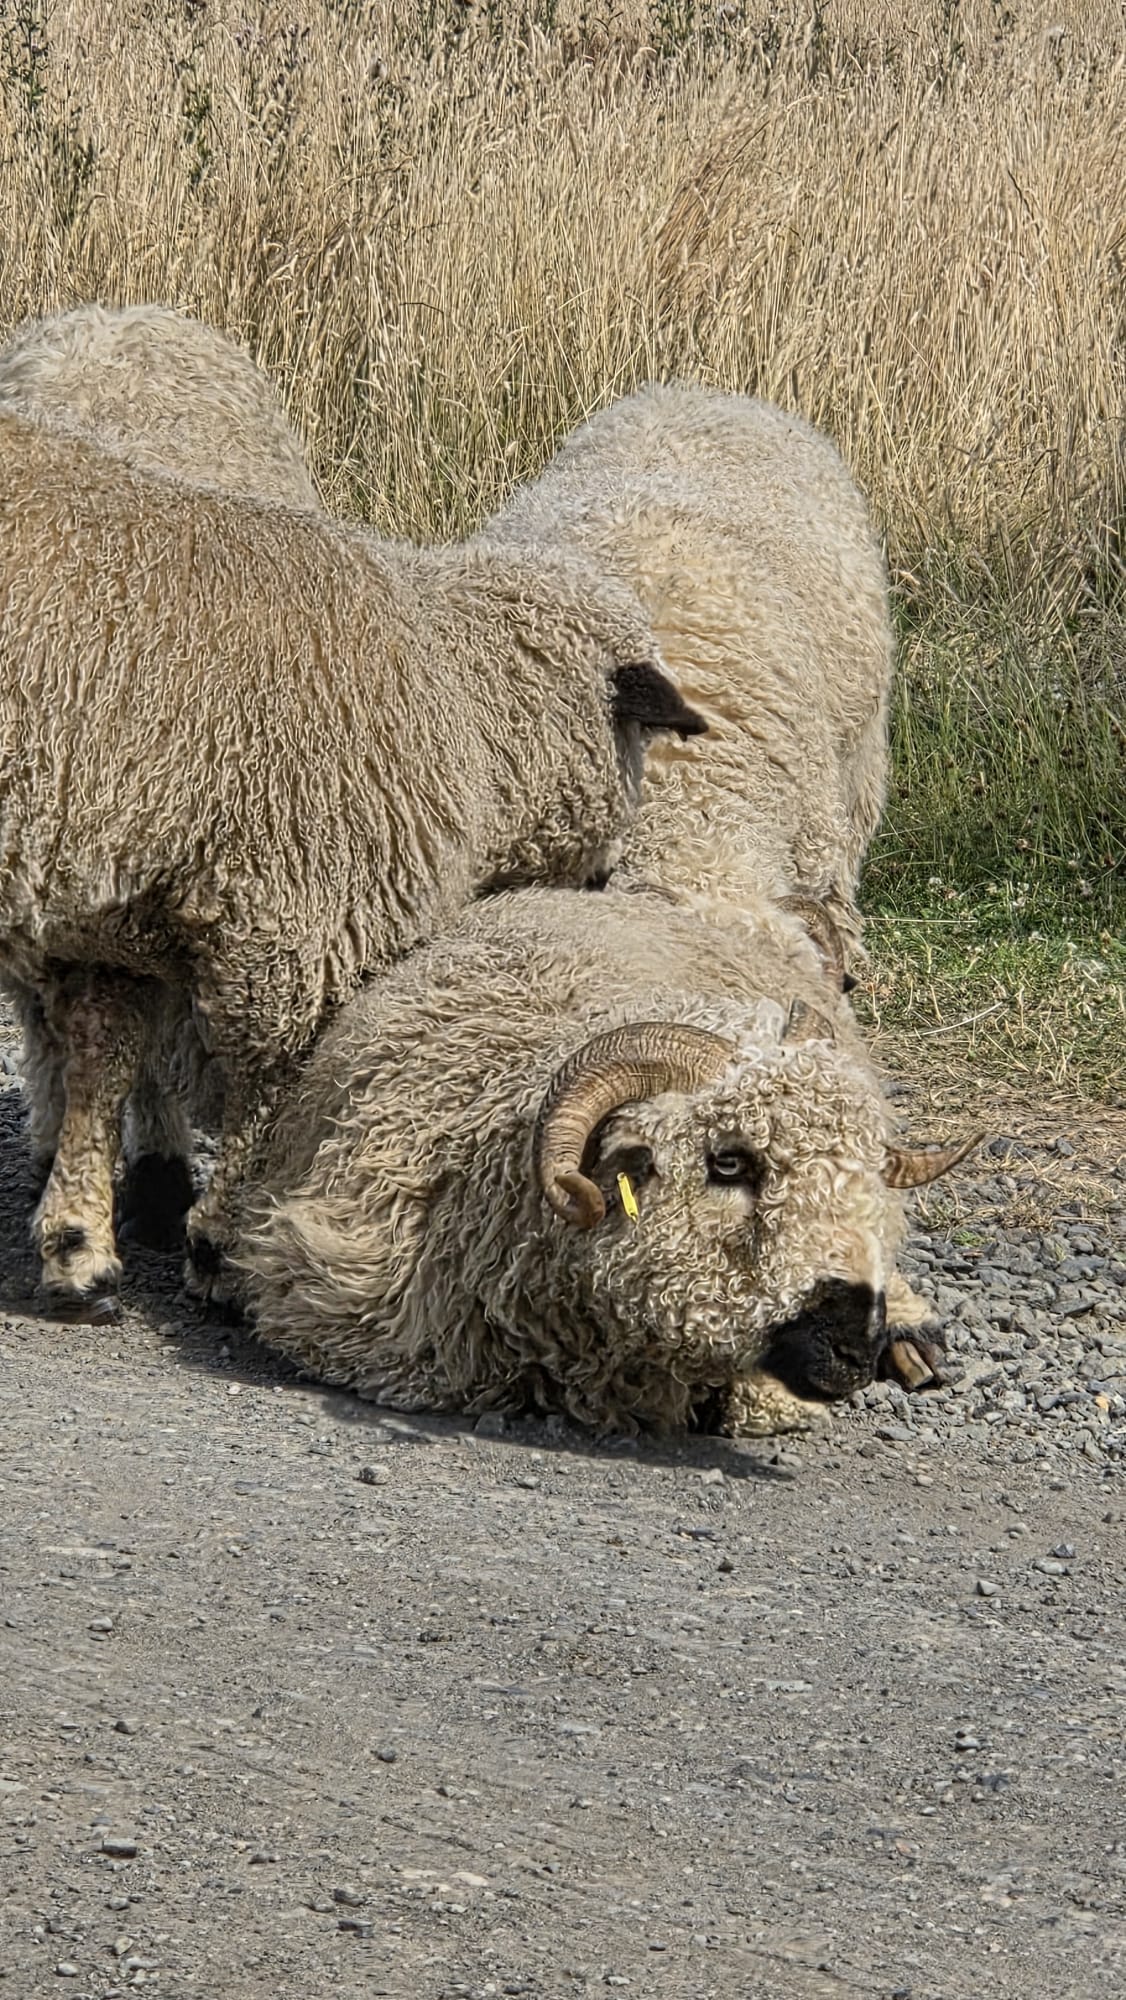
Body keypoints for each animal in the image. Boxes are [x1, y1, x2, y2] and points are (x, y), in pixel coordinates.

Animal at [0, 403, 704, 1310]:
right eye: (637, 742)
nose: (605, 882)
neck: (463, 704)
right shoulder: (302, 915)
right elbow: (275, 1081)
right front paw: (221, 1247)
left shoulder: (108, 907)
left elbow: (103, 1056)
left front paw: (77, 1243)